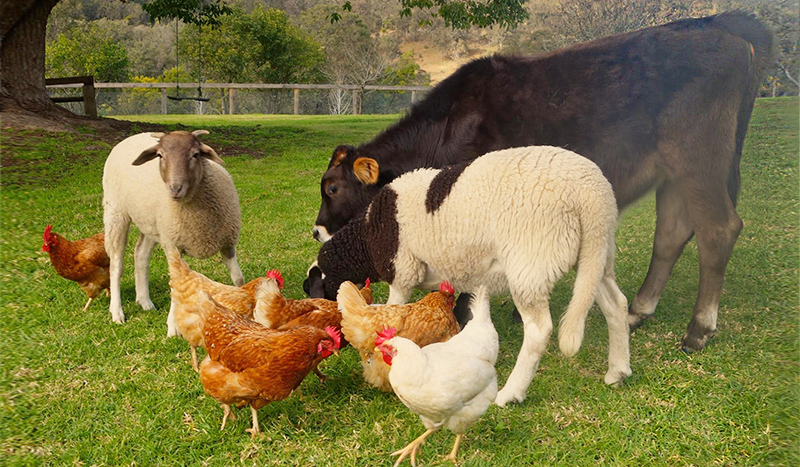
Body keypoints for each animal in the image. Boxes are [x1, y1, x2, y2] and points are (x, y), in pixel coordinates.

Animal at [104, 130, 245, 332]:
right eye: (160, 155)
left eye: (195, 154)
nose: (175, 188)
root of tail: (131, 136)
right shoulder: (174, 247)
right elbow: (177, 286)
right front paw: (173, 327)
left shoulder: (227, 242)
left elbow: (238, 279)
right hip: (116, 212)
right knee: (116, 264)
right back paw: (117, 312)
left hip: (153, 225)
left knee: (140, 254)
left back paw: (145, 302)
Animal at [312, 145, 632, 406]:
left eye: (333, 189)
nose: (315, 231)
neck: (366, 236)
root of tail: (590, 193)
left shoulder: (402, 268)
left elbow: (393, 310)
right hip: (594, 253)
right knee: (616, 304)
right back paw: (617, 371)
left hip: (530, 261)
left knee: (539, 330)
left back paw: (510, 393)